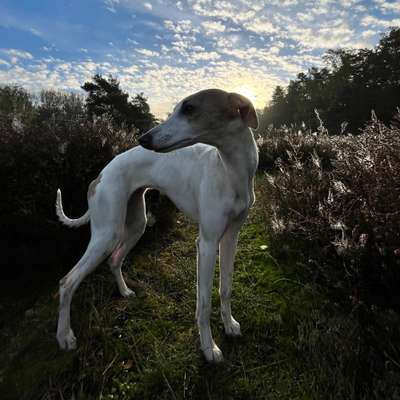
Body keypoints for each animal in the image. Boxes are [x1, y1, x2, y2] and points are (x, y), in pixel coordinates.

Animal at [56, 88, 260, 362]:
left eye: (189, 108)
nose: (144, 139)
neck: (229, 172)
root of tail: (100, 175)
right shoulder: (206, 244)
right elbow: (204, 303)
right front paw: (209, 348)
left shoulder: (231, 237)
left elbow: (225, 288)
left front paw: (229, 325)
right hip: (106, 233)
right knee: (67, 282)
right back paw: (65, 337)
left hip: (135, 225)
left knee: (114, 260)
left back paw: (125, 292)